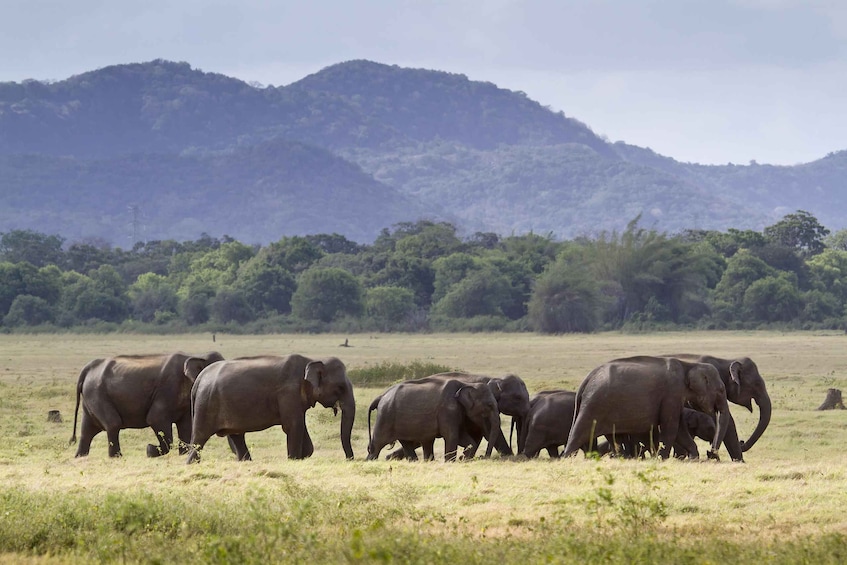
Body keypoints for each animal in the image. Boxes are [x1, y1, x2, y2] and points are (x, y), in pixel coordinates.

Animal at [69, 351, 224, 458]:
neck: (197, 356)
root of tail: (87, 369)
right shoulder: (167, 389)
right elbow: (155, 419)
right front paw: (149, 450)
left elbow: (186, 426)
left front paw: (182, 454)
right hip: (97, 394)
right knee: (113, 424)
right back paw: (116, 457)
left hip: (91, 398)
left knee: (87, 431)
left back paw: (80, 457)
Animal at [185, 355, 355, 463]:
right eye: (340, 387)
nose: (349, 459)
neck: (311, 360)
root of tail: (199, 379)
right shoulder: (288, 393)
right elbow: (293, 426)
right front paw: (293, 460)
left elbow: (301, 429)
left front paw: (302, 456)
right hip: (206, 405)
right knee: (199, 439)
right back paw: (191, 464)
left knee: (236, 436)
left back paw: (247, 462)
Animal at [367, 378, 502, 462]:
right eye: (489, 405)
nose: (482, 457)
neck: (466, 384)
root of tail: (381, 396)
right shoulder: (448, 410)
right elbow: (452, 436)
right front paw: (450, 462)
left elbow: (464, 438)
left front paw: (463, 458)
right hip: (385, 416)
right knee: (377, 444)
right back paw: (370, 461)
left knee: (407, 443)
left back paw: (417, 461)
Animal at [384, 371, 530, 459]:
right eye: (518, 397)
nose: (483, 457)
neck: (494, 378)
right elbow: (489, 431)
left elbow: (479, 434)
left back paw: (390, 457)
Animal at [562, 356, 730, 460]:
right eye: (721, 390)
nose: (711, 453)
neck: (689, 364)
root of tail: (586, 380)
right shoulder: (672, 393)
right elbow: (672, 427)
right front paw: (663, 458)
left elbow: (680, 428)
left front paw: (693, 458)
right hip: (594, 405)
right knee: (578, 434)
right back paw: (566, 459)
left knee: (611, 437)